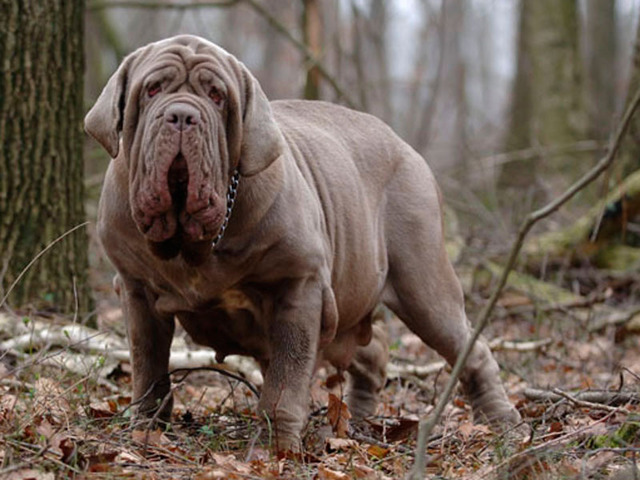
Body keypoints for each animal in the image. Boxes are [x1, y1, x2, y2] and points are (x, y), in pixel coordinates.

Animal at [84, 34, 520, 450]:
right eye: (152, 89)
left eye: (216, 96)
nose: (181, 115)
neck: (196, 243)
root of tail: (406, 147)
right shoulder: (137, 290)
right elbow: (147, 364)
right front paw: (145, 429)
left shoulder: (299, 287)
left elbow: (286, 378)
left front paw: (276, 448)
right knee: (371, 350)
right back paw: (357, 419)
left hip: (423, 283)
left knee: (468, 346)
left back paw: (502, 420)